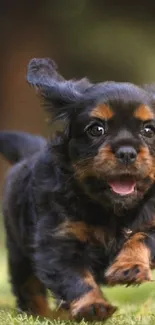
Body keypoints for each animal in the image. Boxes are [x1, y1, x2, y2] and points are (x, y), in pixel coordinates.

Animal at [0, 58, 155, 322]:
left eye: (148, 130)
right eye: (96, 130)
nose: (126, 152)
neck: (110, 209)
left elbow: (141, 237)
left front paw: (129, 267)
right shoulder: (59, 240)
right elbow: (75, 279)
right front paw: (93, 307)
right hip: (18, 251)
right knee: (29, 288)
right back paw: (45, 315)